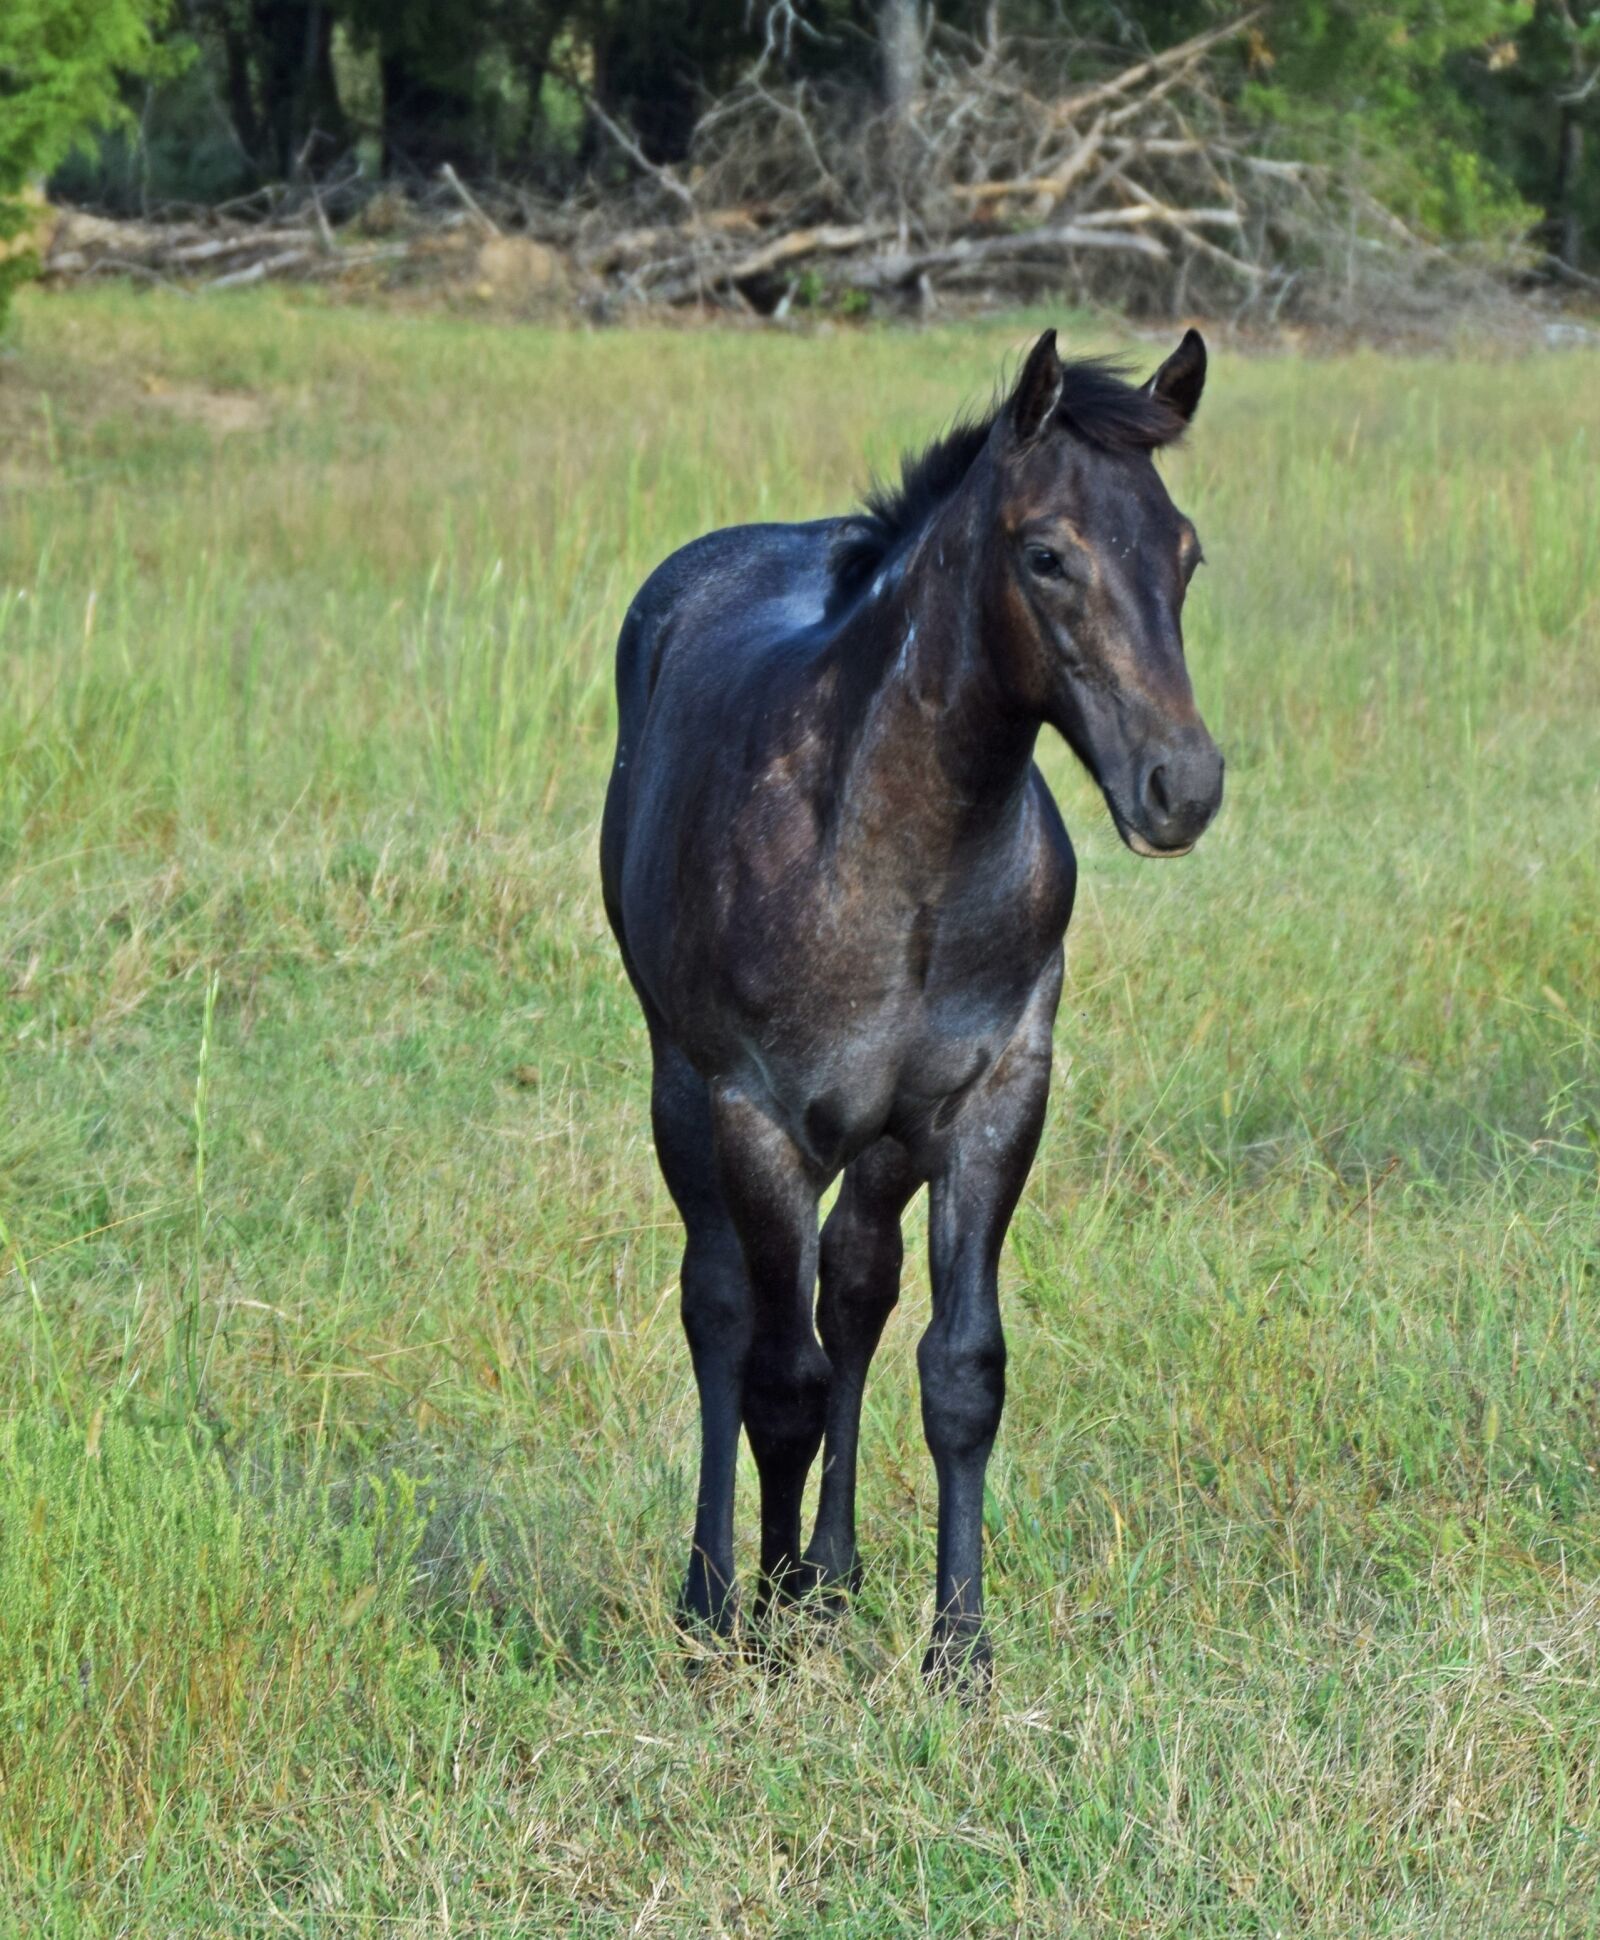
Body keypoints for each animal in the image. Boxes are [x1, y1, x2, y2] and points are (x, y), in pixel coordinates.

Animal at [600, 328, 1224, 1682]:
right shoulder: (759, 1113)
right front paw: (761, 1623)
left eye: (1186, 550)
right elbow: (777, 1375)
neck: (901, 861)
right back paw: (719, 1588)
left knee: (855, 1289)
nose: (1183, 786)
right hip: (681, 1087)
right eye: (1046, 553)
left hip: (883, 1141)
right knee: (721, 1307)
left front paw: (957, 1646)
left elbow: (958, 1370)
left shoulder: (992, 1101)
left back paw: (830, 1573)